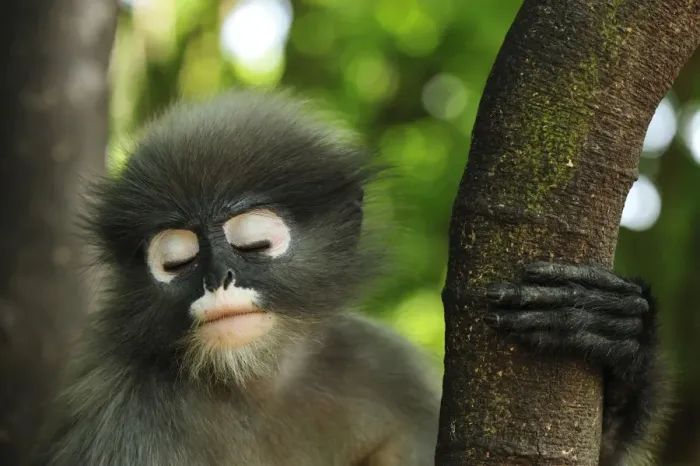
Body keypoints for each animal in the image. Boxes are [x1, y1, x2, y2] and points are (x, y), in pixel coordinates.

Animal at [29, 89, 666, 466]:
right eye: (177, 262)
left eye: (253, 243)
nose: (218, 278)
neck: (258, 382)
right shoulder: (126, 416)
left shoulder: (381, 364)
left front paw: (612, 334)